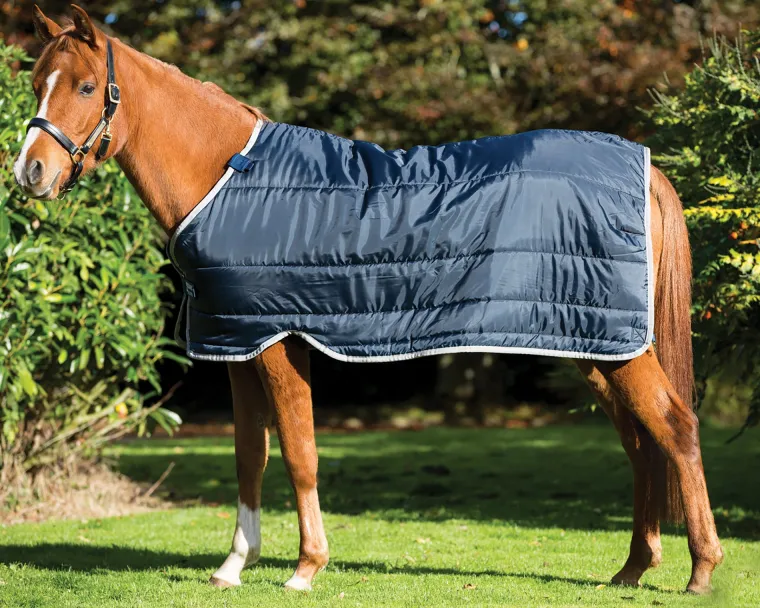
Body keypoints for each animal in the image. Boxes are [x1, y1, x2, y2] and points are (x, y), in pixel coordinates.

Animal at [13, 5, 723, 595]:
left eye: (85, 87)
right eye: (36, 82)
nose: (30, 173)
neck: (228, 177)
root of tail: (644, 168)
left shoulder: (278, 342)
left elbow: (299, 452)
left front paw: (306, 568)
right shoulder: (237, 343)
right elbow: (249, 457)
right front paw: (234, 565)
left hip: (617, 348)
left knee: (677, 429)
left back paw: (700, 571)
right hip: (591, 344)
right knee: (641, 442)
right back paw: (633, 569)